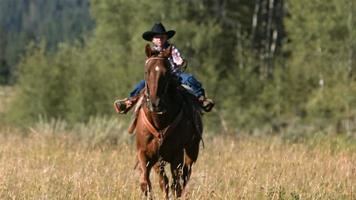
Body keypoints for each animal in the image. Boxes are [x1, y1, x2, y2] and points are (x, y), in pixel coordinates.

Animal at [135, 43, 203, 198]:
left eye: (166, 73)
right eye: (147, 71)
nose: (155, 103)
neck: (159, 121)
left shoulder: (177, 154)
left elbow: (175, 183)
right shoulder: (146, 153)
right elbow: (147, 182)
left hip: (192, 149)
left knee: (184, 176)